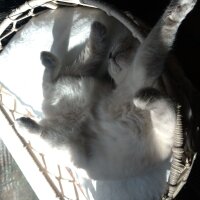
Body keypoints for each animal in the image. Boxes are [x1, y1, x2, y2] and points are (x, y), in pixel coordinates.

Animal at [16, 0, 197, 199]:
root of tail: (51, 115)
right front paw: (180, 7)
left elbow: (168, 106)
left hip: (77, 90)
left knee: (68, 72)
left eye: (124, 48)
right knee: (52, 86)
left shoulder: (166, 126)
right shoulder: (141, 70)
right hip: (69, 120)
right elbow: (161, 33)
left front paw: (144, 98)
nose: (111, 55)